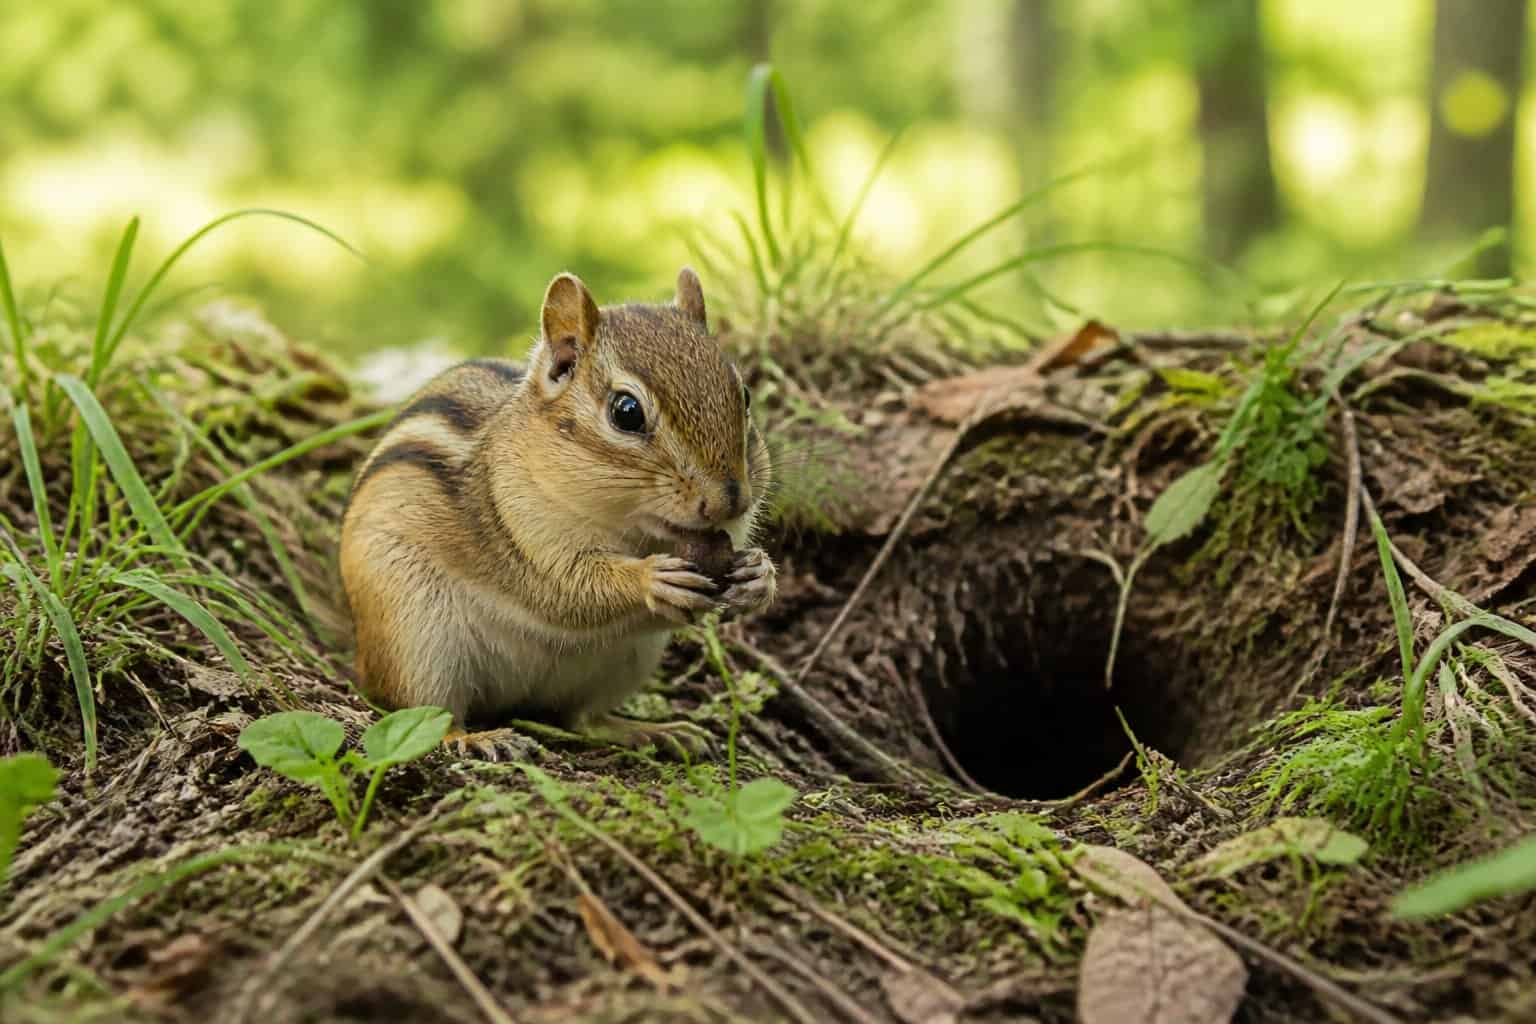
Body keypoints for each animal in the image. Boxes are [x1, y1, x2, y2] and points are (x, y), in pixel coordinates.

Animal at [338, 267, 776, 758]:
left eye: (744, 395)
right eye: (626, 411)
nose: (730, 500)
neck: (633, 530)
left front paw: (759, 576)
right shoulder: (520, 531)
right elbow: (568, 590)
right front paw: (650, 578)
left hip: (627, 660)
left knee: (584, 719)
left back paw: (654, 731)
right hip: (413, 634)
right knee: (425, 714)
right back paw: (476, 737)